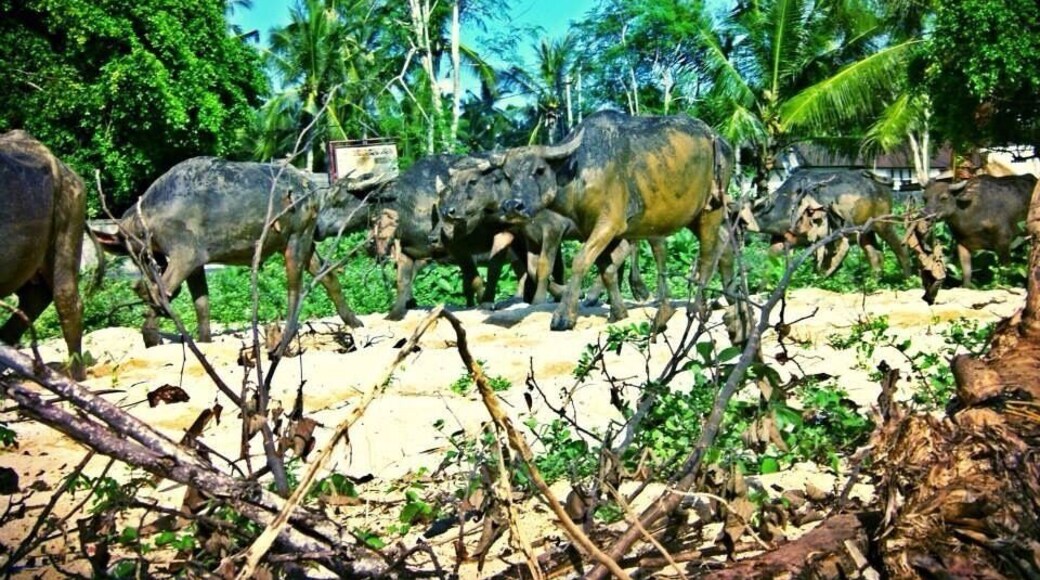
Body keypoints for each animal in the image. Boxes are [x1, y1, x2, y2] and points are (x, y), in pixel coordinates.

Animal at [95, 157, 364, 350]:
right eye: (132, 255)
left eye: (148, 254)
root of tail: (312, 190)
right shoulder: (196, 262)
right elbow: (202, 303)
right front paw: (204, 342)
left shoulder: (186, 254)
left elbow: (163, 291)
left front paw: (152, 338)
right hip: (304, 241)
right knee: (328, 275)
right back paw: (355, 322)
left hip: (297, 239)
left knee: (295, 289)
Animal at [441, 110, 735, 332]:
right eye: (508, 176)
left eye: (539, 170)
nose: (513, 206)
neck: (577, 172)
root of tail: (721, 141)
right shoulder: (589, 229)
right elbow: (606, 268)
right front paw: (618, 311)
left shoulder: (604, 225)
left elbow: (579, 261)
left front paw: (563, 315)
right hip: (694, 216)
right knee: (724, 243)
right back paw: (731, 299)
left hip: (709, 211)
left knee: (707, 253)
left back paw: (695, 304)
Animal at [749, 168, 911, 277]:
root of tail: (880, 184)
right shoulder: (780, 240)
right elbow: (771, 262)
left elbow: (826, 263)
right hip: (865, 232)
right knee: (875, 255)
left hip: (883, 225)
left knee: (900, 248)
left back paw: (907, 278)